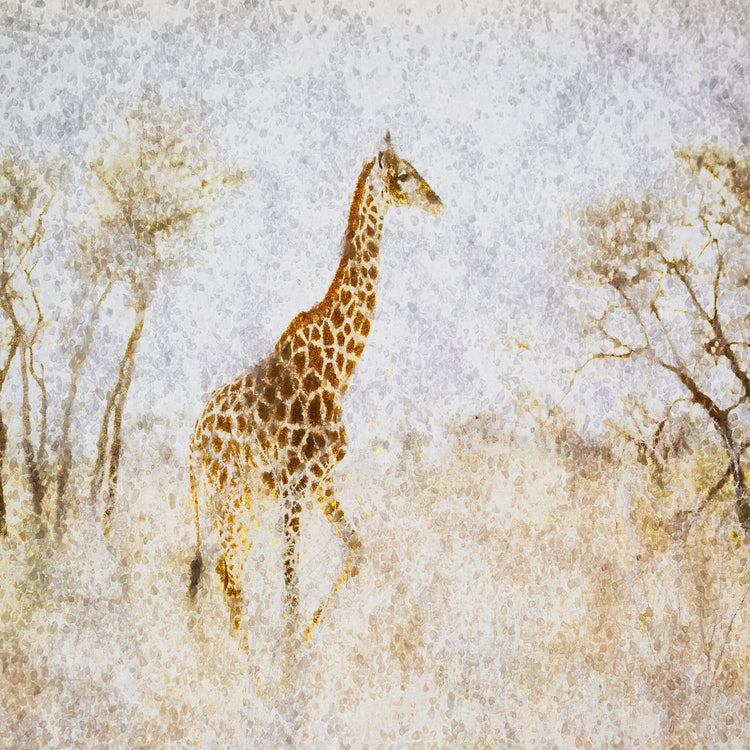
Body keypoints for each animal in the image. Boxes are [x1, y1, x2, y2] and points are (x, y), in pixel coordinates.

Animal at [187, 132, 443, 644]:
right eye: (404, 175)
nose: (438, 201)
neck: (338, 371)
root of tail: (190, 443)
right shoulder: (294, 485)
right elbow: (290, 592)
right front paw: (288, 653)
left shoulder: (322, 481)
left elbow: (356, 551)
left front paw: (305, 643)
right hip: (230, 500)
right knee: (228, 577)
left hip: (242, 503)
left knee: (226, 576)